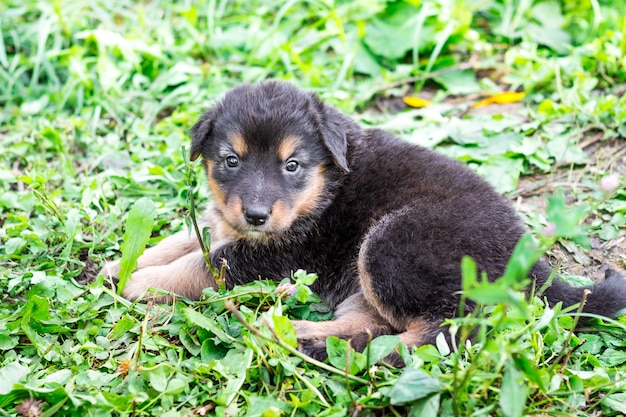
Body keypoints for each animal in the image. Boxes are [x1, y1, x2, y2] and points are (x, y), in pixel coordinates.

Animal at [100, 80, 624, 358]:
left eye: (292, 165)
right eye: (231, 160)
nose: (256, 214)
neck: (324, 188)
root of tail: (534, 269)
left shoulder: (280, 253)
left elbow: (202, 264)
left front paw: (138, 283)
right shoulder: (232, 228)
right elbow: (187, 240)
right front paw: (120, 265)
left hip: (392, 249)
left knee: (440, 333)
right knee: (370, 323)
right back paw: (296, 331)